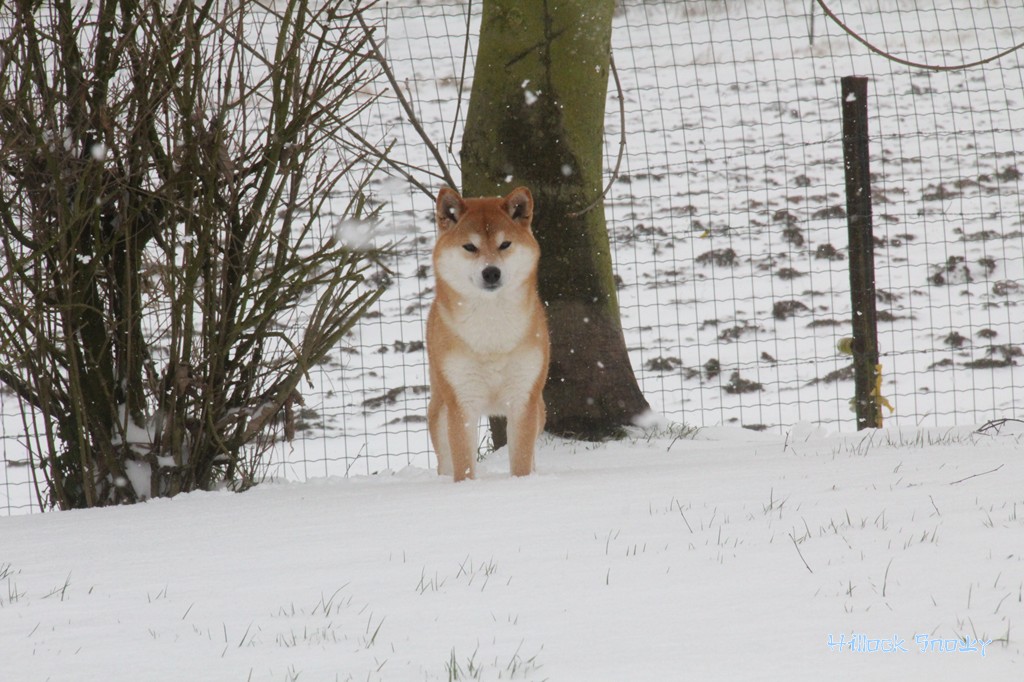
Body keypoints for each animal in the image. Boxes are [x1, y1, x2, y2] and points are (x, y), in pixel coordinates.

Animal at [425, 186, 552, 481]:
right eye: (470, 247)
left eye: (505, 244)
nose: (491, 272)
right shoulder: (462, 401)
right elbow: (463, 464)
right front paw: (467, 488)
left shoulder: (523, 399)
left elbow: (521, 461)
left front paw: (522, 483)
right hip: (440, 410)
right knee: (445, 459)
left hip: (539, 409)